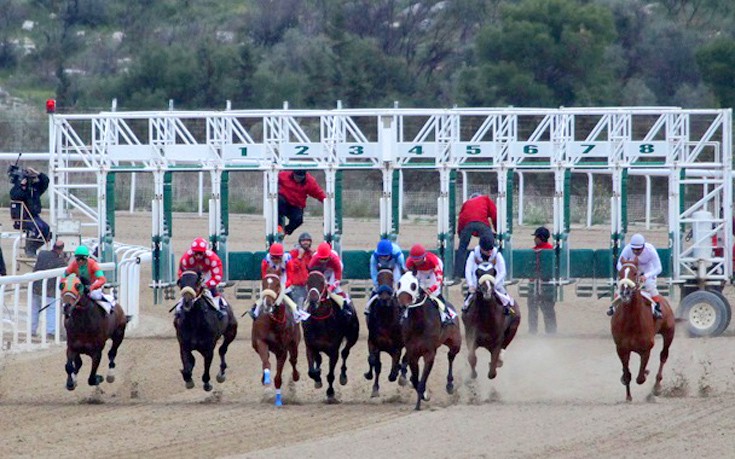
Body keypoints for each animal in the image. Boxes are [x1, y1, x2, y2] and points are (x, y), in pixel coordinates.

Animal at [252, 272, 300, 408]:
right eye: (263, 283)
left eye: (277, 284)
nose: (268, 303)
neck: (274, 321)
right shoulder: (260, 342)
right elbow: (266, 363)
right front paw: (266, 381)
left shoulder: (282, 350)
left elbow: (278, 377)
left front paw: (278, 400)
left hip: (294, 344)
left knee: (293, 360)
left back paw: (296, 376)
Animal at [304, 272, 360, 404]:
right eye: (308, 281)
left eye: (322, 282)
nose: (313, 299)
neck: (320, 321)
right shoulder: (310, 346)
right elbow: (311, 371)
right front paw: (317, 378)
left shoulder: (333, 350)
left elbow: (330, 375)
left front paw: (330, 393)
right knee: (319, 359)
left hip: (353, 337)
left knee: (345, 352)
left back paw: (343, 377)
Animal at [366, 270, 412, 398]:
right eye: (378, 277)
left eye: (391, 278)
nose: (385, 298)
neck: (385, 319)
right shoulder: (373, 342)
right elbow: (374, 362)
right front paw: (373, 386)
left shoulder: (396, 348)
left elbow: (394, 369)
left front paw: (396, 372)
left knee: (406, 358)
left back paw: (402, 377)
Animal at [396, 272, 460, 412]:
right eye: (398, 283)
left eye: (413, 285)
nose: (402, 304)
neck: (419, 323)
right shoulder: (413, 353)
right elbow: (416, 379)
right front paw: (423, 395)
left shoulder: (429, 353)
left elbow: (421, 381)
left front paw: (418, 404)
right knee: (405, 361)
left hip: (455, 343)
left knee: (451, 356)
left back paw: (450, 385)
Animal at [612, 258, 676, 402]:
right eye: (619, 273)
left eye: (635, 273)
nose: (625, 292)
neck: (631, 322)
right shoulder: (621, 349)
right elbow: (627, 374)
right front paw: (628, 396)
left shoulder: (646, 349)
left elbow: (640, 378)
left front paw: (646, 373)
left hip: (669, 333)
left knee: (663, 356)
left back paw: (657, 387)